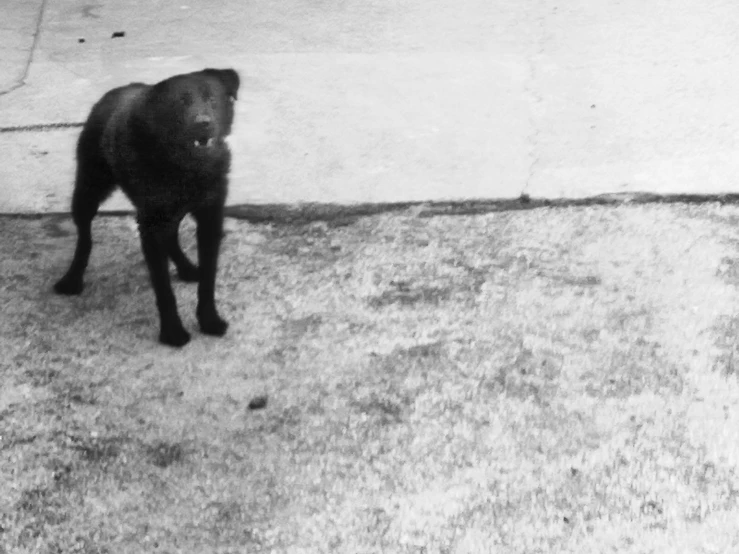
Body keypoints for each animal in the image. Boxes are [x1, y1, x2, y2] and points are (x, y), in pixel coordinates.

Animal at [55, 68, 240, 344]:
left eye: (212, 99)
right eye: (181, 102)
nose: (203, 122)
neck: (185, 166)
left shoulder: (210, 218)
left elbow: (208, 278)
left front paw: (209, 320)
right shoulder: (150, 224)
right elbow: (163, 288)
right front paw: (172, 331)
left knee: (171, 236)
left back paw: (186, 268)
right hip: (88, 190)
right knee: (84, 237)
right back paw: (72, 278)